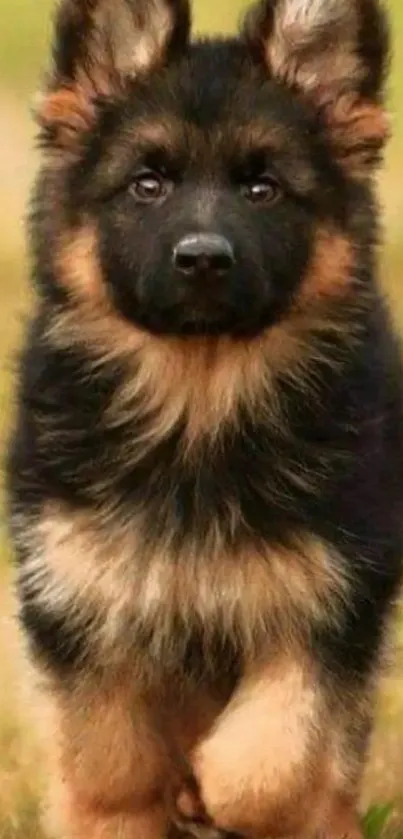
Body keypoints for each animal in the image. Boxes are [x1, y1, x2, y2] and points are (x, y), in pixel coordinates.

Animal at [5, 0, 403, 836]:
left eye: (262, 188)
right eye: (147, 183)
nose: (202, 260)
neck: (198, 403)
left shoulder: (329, 599)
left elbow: (269, 763)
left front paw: (212, 789)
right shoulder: (80, 596)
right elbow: (109, 762)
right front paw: (123, 807)